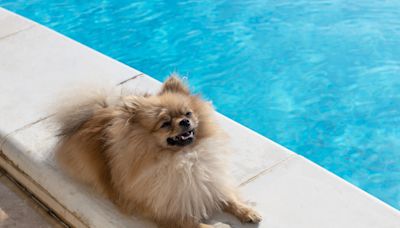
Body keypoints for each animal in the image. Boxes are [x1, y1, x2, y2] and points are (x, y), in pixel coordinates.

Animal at [55, 75, 262, 227]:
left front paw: (247, 211)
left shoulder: (209, 183)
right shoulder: (169, 213)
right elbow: (198, 225)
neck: (185, 157)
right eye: (165, 123)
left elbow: (229, 198)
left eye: (188, 113)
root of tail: (97, 113)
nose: (185, 121)